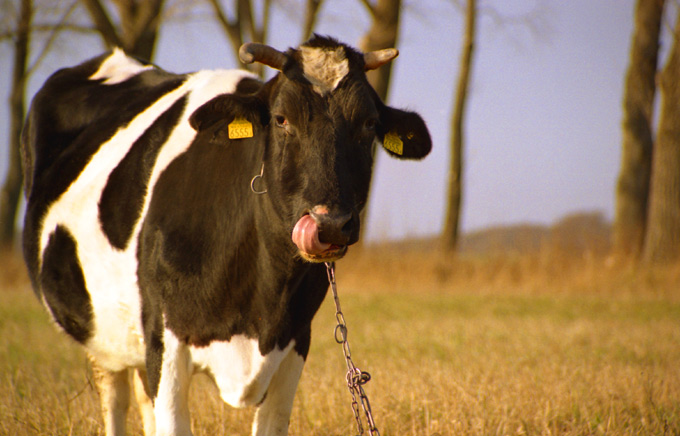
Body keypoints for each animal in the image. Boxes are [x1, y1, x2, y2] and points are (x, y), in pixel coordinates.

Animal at [23, 35, 432, 436]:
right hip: (101, 338)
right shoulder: (165, 343)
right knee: (114, 400)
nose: (330, 223)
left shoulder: (295, 343)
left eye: (368, 123)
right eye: (281, 118)